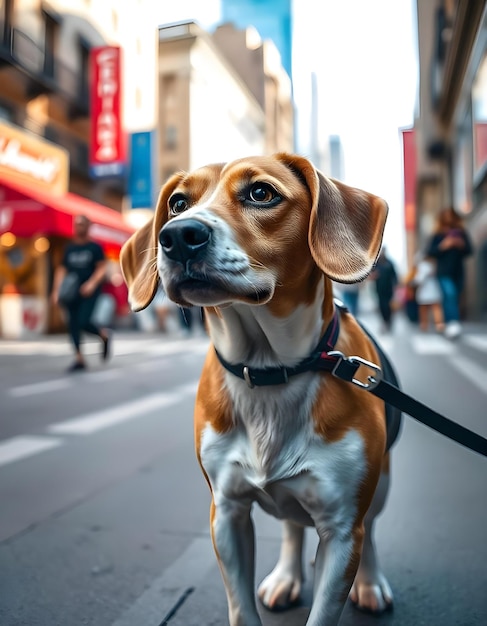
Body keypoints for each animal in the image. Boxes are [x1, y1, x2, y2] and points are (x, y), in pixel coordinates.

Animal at [123, 152, 404, 624]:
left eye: (260, 193)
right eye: (178, 203)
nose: (178, 236)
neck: (269, 370)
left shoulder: (342, 528)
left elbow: (327, 604)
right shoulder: (227, 513)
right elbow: (240, 606)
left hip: (380, 485)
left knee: (373, 529)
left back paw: (371, 583)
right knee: (292, 526)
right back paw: (286, 578)